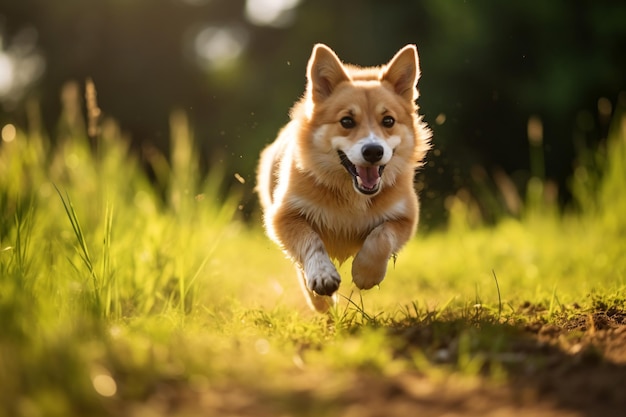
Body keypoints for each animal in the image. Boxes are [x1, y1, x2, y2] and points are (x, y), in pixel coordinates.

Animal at [254, 44, 428, 312]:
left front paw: (366, 273)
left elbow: (381, 237)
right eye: (347, 121)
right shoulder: (283, 216)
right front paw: (322, 278)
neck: (351, 193)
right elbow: (311, 243)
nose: (373, 151)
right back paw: (321, 302)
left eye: (388, 120)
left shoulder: (405, 217)